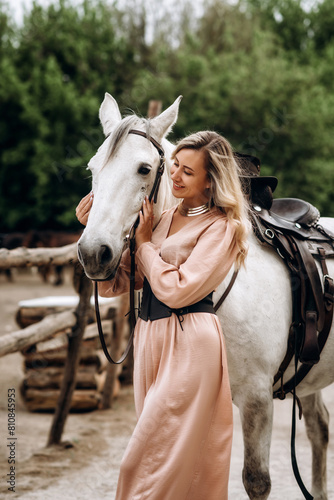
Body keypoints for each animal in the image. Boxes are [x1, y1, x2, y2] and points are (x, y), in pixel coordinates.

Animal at [77, 94, 334, 500]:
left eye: (144, 169)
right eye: (93, 168)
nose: (93, 253)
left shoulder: (257, 400)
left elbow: (256, 480)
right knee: (319, 430)